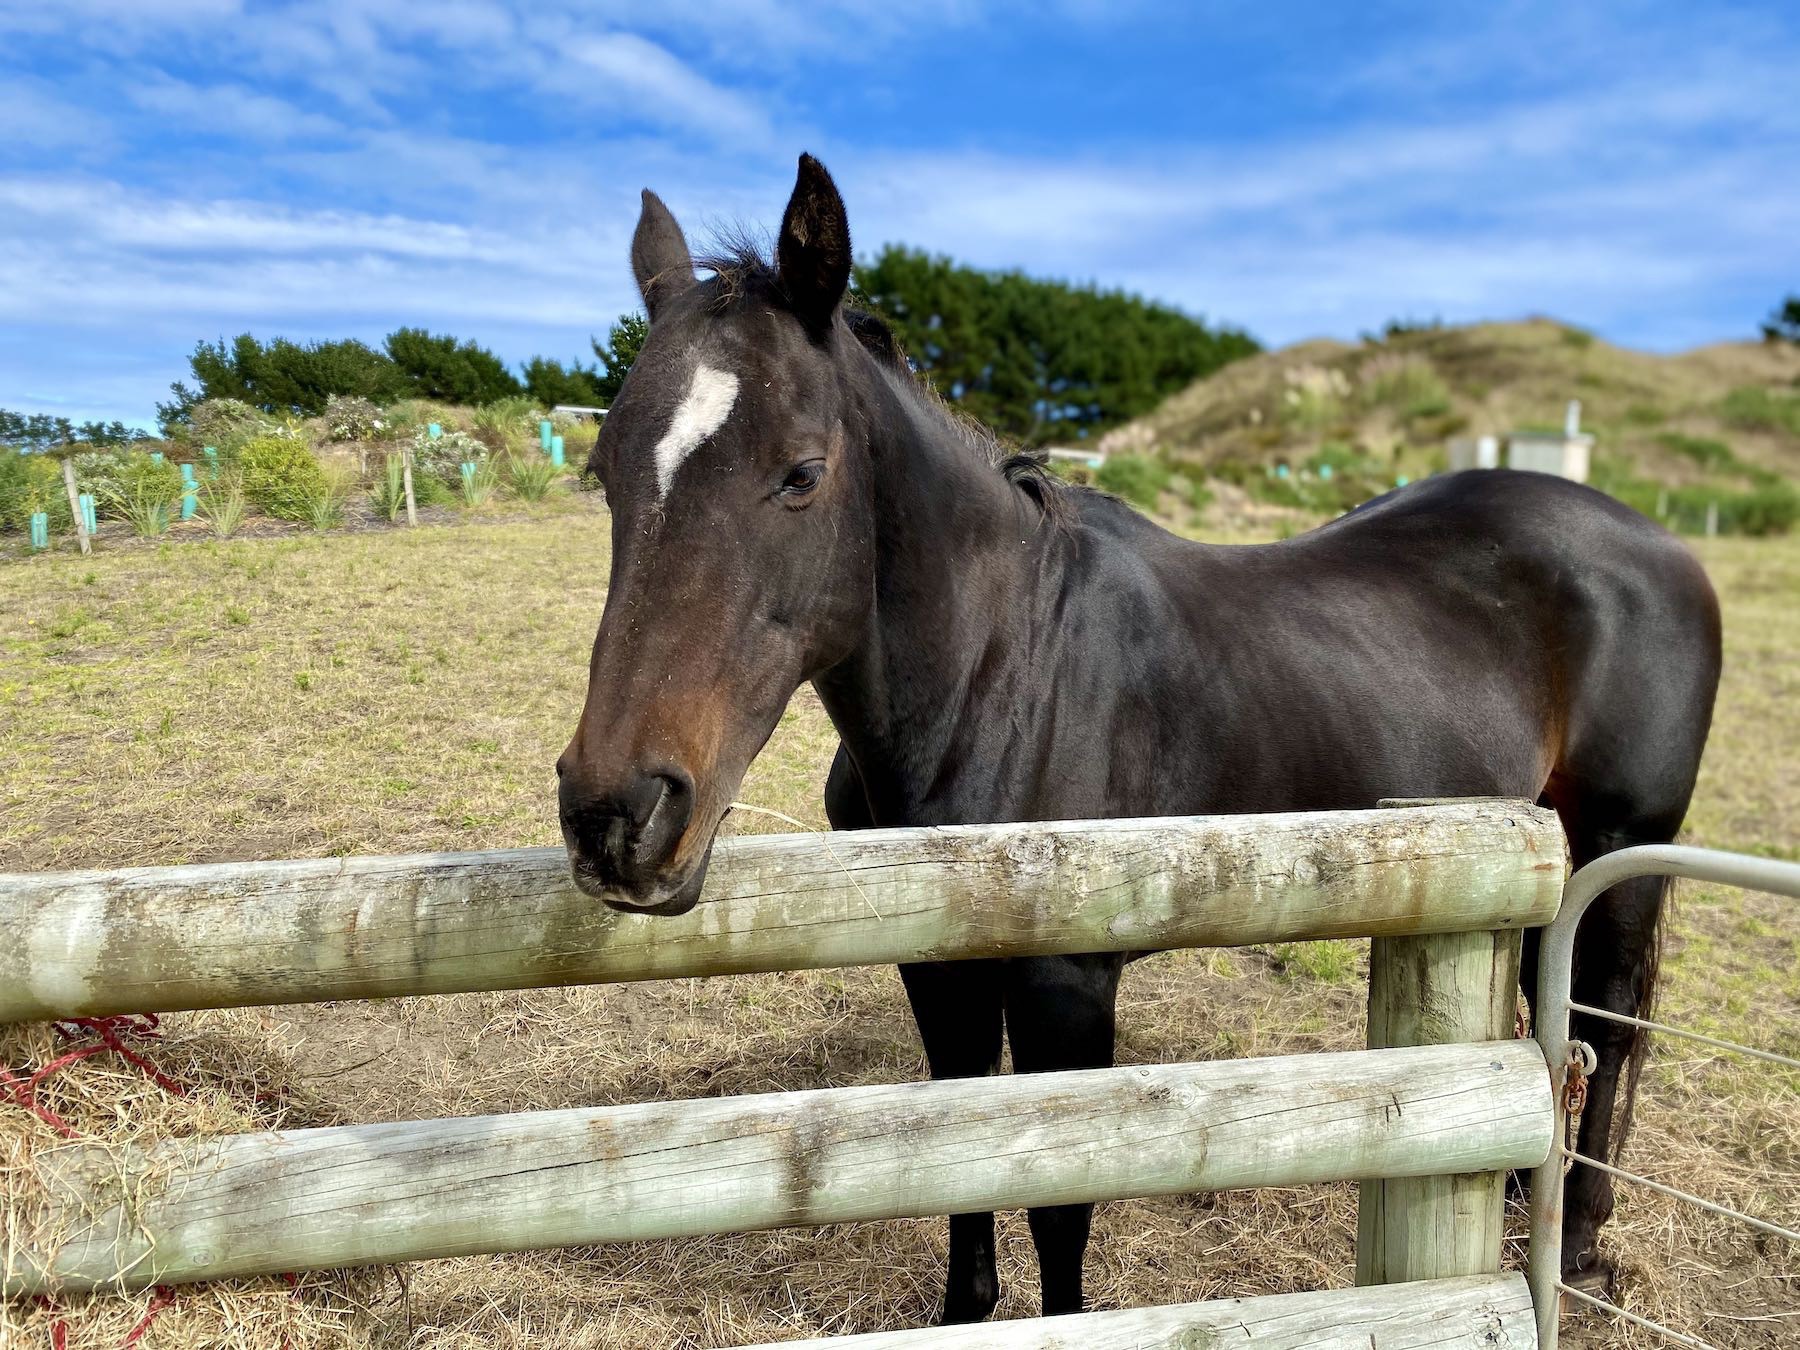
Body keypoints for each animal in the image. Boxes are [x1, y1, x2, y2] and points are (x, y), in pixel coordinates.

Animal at [554, 153, 1720, 1324]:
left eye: (800, 472)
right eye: (603, 470)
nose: (618, 816)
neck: (1007, 669)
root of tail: (1661, 545)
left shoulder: (1070, 985)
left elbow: (1063, 1202)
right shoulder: (936, 964)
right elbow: (953, 1145)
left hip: (1617, 843)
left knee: (1611, 1023)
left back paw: (1579, 1244)